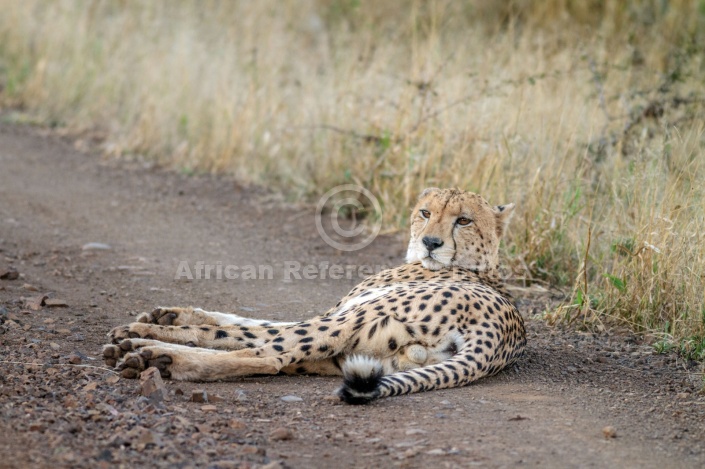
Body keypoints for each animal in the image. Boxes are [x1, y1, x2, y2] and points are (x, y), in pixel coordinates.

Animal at [103, 188, 524, 404]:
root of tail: (501, 332)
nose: (431, 243)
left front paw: (146, 329)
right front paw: (169, 315)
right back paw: (156, 358)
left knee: (270, 355)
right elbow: (241, 321)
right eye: (425, 212)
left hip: (347, 325)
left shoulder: (339, 313)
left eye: (463, 220)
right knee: (273, 354)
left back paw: (149, 353)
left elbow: (238, 330)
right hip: (359, 356)